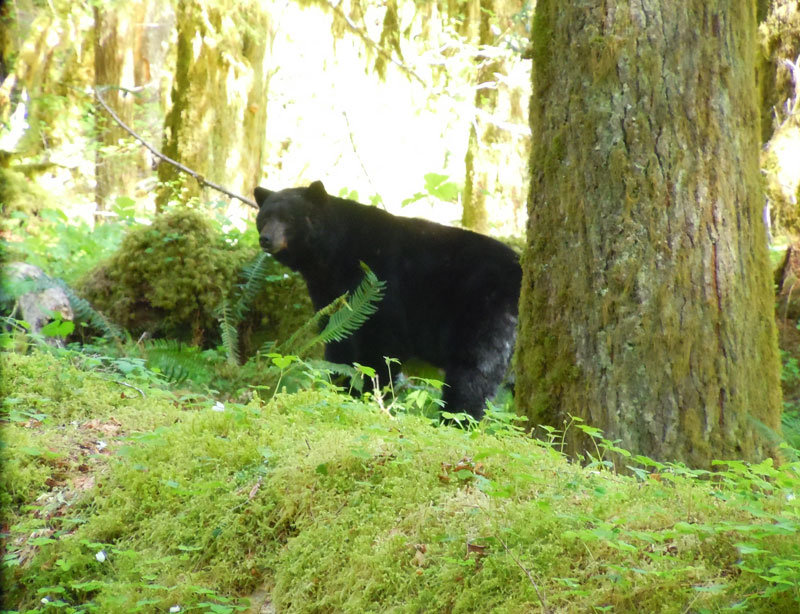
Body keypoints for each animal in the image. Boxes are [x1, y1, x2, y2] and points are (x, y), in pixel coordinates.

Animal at [254, 181, 521, 421]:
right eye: (264, 217)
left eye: (289, 218)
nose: (265, 239)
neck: (332, 255)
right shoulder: (330, 292)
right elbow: (338, 339)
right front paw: (341, 387)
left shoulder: (382, 281)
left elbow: (382, 344)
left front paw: (369, 392)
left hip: (484, 308)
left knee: (476, 368)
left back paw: (456, 417)